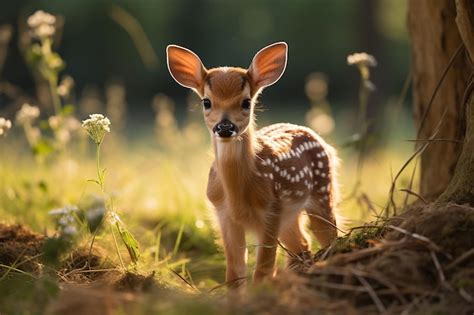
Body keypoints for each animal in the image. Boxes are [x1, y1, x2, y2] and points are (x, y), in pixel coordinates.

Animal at [167, 42, 340, 292]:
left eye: (246, 102)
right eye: (206, 102)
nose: (225, 127)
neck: (237, 196)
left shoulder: (271, 210)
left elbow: (263, 270)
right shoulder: (224, 214)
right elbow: (235, 273)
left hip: (322, 193)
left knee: (329, 237)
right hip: (291, 214)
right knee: (302, 245)